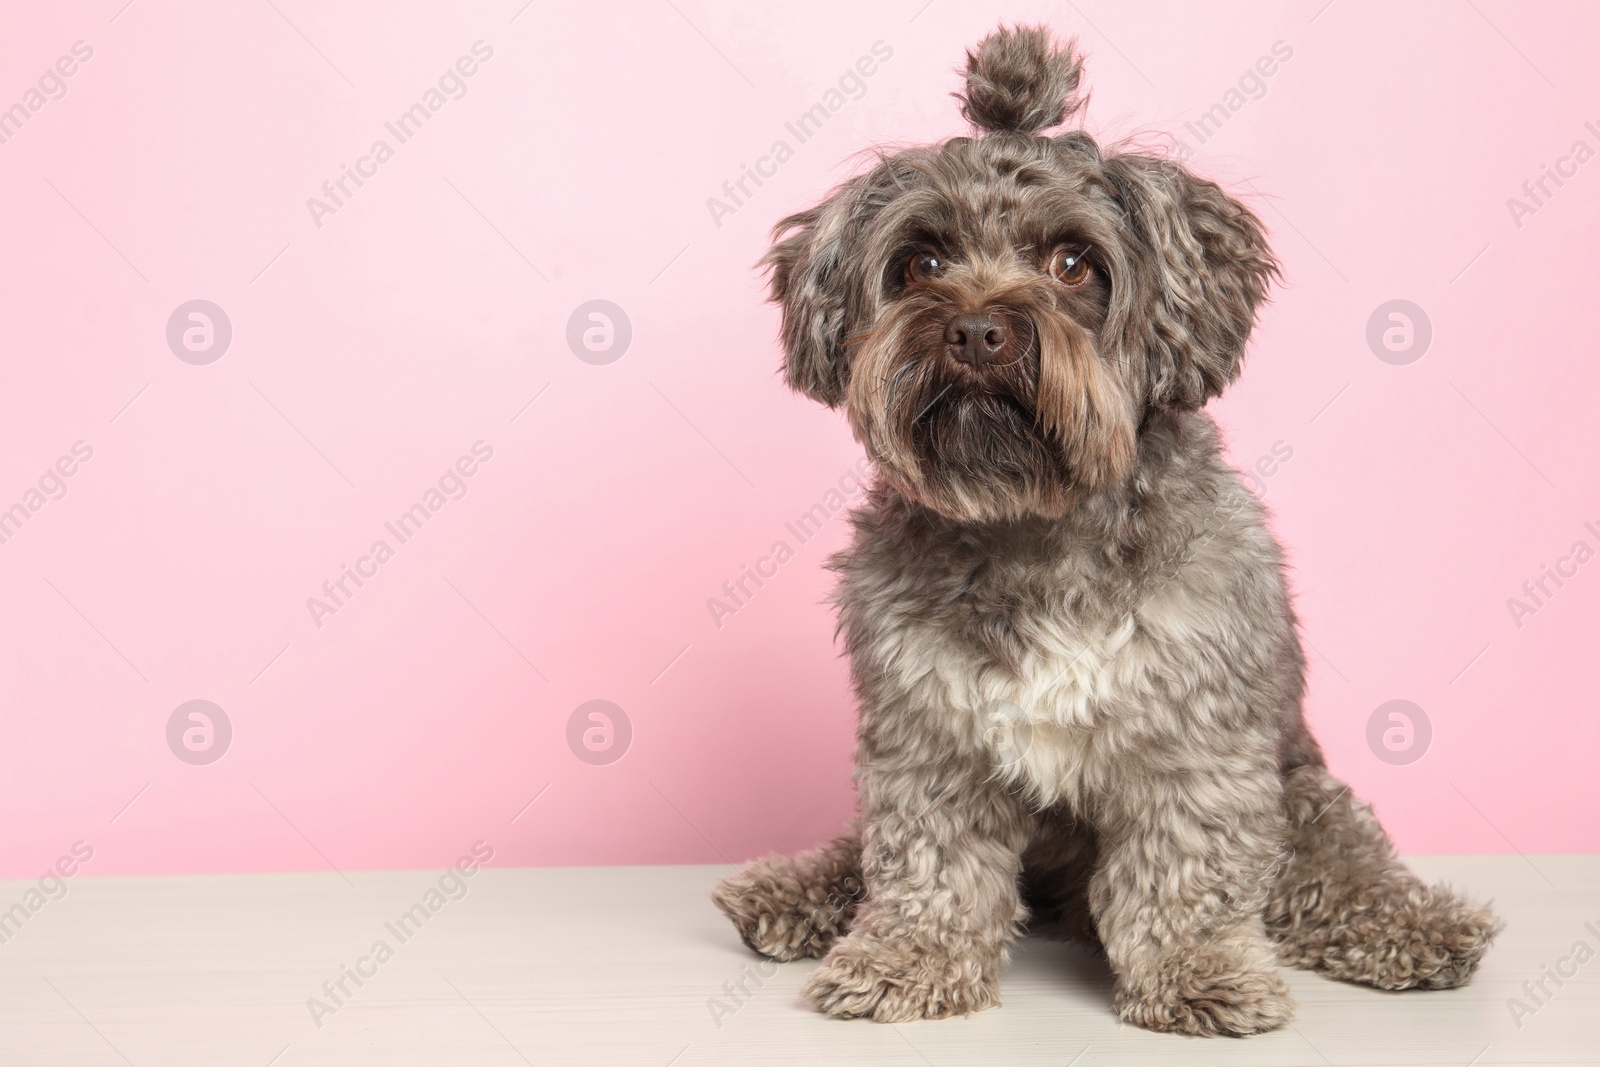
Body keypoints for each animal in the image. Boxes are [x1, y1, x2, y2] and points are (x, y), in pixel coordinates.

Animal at [713, 24, 1497, 1036]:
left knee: (1338, 865)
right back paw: (797, 892)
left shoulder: (1193, 741)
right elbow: (927, 864)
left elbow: (1187, 874)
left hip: (1305, 788)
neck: (1034, 524)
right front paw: (908, 959)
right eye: (921, 263)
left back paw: (1417, 925)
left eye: (1074, 263)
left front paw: (1200, 972)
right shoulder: (928, 738)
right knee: (864, 852)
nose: (976, 331)